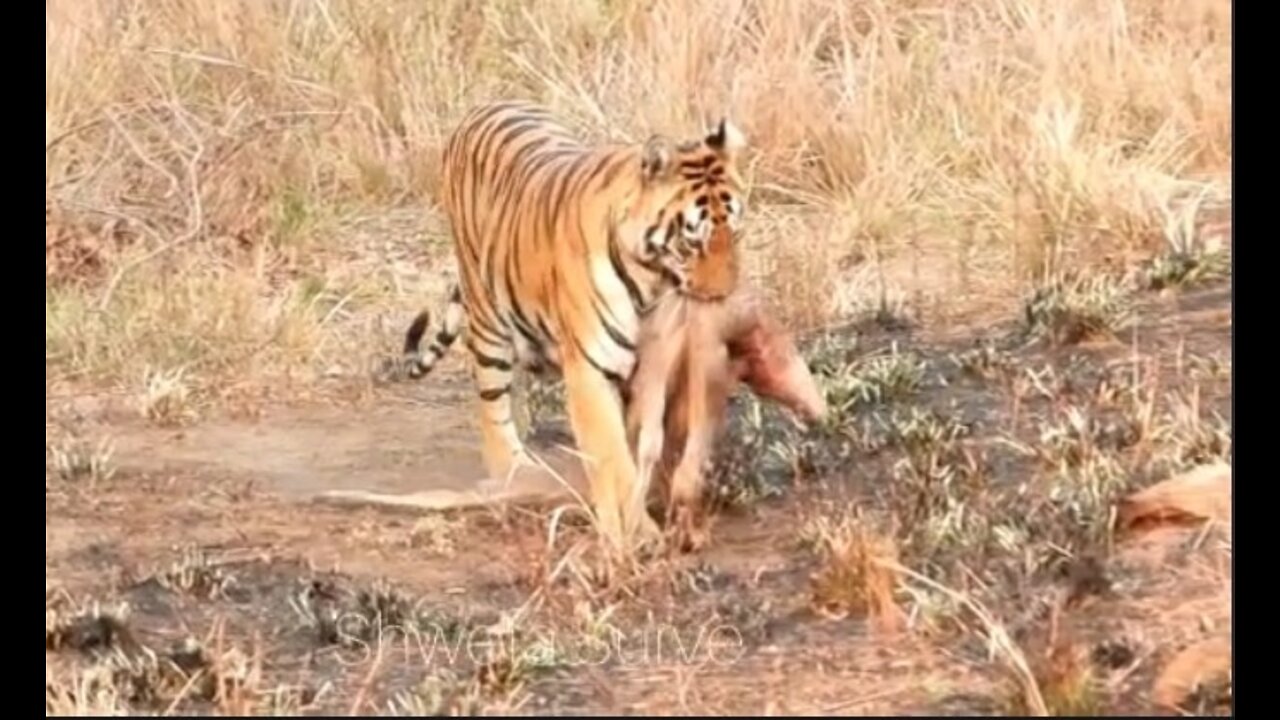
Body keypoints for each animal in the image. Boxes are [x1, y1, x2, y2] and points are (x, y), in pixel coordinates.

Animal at [399, 101, 747, 548]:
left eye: (734, 233)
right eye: (692, 241)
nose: (723, 294)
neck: (651, 284)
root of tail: (482, 109)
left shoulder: (645, 372)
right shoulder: (589, 371)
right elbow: (615, 457)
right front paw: (636, 534)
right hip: (487, 316)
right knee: (493, 406)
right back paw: (514, 471)